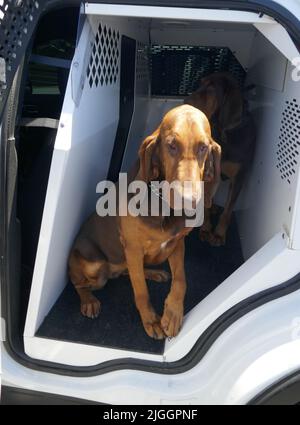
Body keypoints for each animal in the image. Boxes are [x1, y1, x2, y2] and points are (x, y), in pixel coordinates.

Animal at [69, 104, 221, 340]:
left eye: (203, 147)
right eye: (171, 146)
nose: (188, 200)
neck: (165, 208)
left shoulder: (177, 243)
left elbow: (181, 280)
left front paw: (173, 314)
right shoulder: (132, 248)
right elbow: (141, 290)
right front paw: (151, 320)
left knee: (126, 271)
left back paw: (155, 273)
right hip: (94, 266)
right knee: (80, 284)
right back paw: (89, 301)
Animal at [185, 72, 255, 245]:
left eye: (211, 87)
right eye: (201, 83)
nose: (185, 102)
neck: (222, 132)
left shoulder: (239, 178)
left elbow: (228, 210)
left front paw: (218, 234)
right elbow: (206, 207)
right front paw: (205, 229)